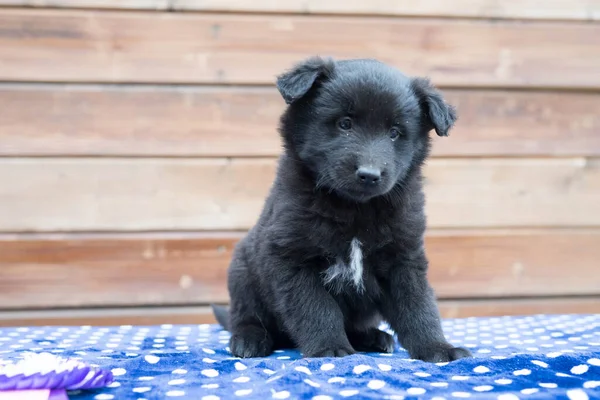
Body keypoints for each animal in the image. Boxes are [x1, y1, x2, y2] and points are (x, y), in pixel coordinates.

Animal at [213, 55, 472, 362]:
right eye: (345, 123)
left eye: (395, 133)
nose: (369, 175)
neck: (355, 210)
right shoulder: (292, 256)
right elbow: (316, 307)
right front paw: (330, 348)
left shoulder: (404, 258)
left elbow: (418, 305)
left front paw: (437, 347)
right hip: (242, 273)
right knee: (245, 317)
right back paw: (249, 339)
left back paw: (374, 337)